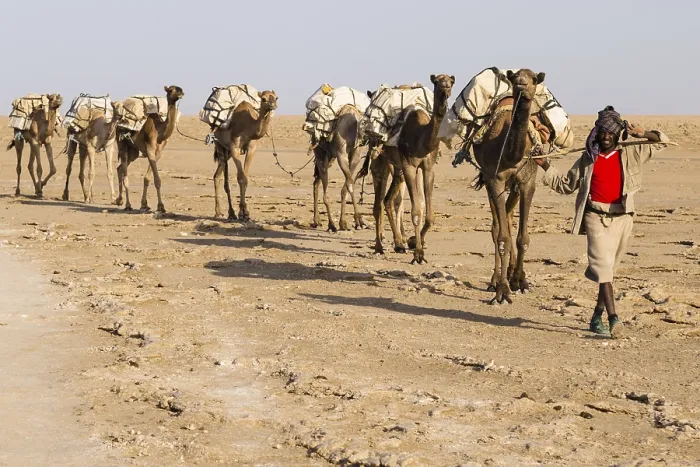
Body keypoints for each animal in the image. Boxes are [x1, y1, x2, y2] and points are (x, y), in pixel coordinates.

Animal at [212, 90, 278, 220]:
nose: (273, 105)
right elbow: (241, 178)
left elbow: (246, 178)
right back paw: (227, 213)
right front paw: (242, 212)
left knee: (217, 176)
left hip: (227, 152)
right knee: (224, 180)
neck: (249, 126)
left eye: (276, 97)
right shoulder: (235, 148)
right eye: (263, 99)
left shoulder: (252, 149)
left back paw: (223, 212)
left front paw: (245, 211)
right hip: (220, 146)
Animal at [371, 74, 455, 264]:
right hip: (381, 160)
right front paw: (418, 253)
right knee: (378, 203)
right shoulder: (409, 166)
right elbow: (416, 210)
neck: (421, 138)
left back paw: (399, 244)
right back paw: (379, 246)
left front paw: (414, 242)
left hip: (397, 168)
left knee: (387, 200)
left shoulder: (428, 167)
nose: (445, 91)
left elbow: (428, 213)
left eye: (451, 82)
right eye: (437, 82)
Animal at [472, 69, 546, 304]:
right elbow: (502, 235)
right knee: (498, 225)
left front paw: (521, 281)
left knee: (509, 218)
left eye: (534, 79)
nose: (522, 82)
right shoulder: (495, 179)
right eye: (515, 78)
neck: (511, 155)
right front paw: (502, 290)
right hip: (489, 180)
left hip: (513, 187)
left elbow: (523, 237)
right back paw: (495, 280)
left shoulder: (527, 182)